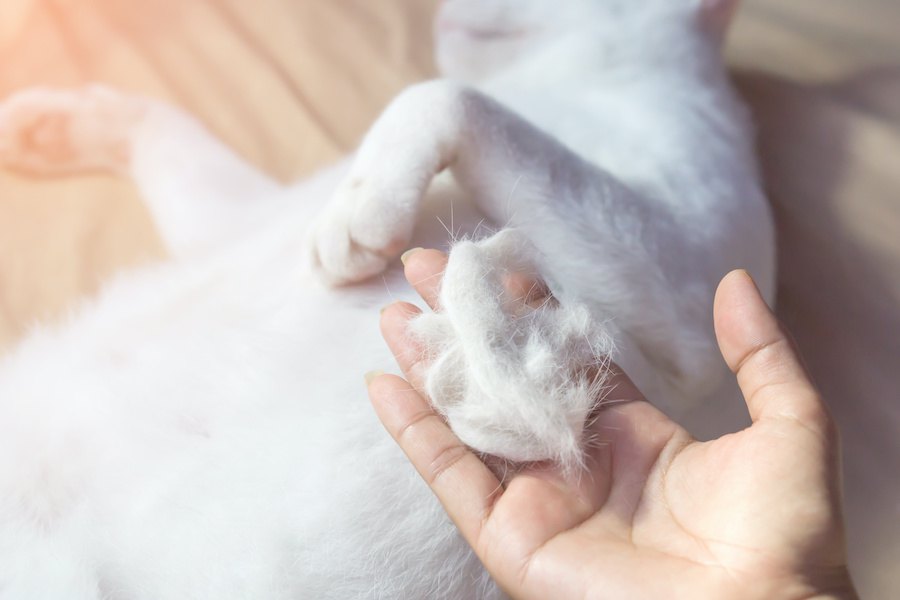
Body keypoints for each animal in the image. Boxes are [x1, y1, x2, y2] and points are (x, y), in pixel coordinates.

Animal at [0, 0, 772, 596]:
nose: (448, 5)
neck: (565, 79)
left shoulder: (678, 295)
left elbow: (438, 92)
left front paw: (362, 210)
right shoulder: (234, 216)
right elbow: (160, 127)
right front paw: (54, 122)